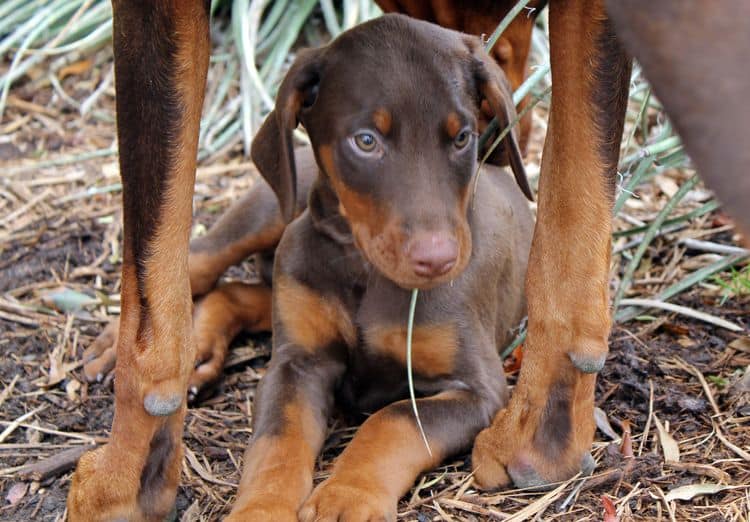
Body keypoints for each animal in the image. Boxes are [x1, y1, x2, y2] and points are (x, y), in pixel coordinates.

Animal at [66, 0, 750, 516]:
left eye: (462, 136)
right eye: (366, 141)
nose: (437, 259)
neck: (366, 272)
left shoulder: (474, 389)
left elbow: (391, 422)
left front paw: (345, 497)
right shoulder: (298, 366)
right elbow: (278, 443)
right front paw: (260, 508)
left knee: (243, 292)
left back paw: (204, 351)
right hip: (273, 216)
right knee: (201, 262)